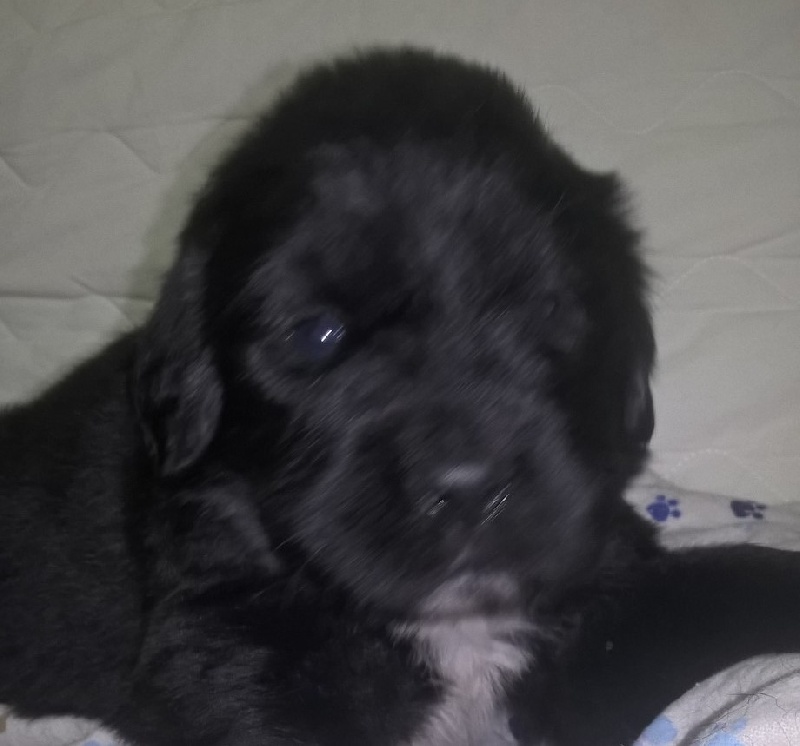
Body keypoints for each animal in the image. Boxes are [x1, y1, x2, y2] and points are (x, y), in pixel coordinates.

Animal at [2, 47, 800, 746]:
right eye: (316, 334)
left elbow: (729, 583)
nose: (472, 490)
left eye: (547, 310)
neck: (456, 628)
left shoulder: (608, 603)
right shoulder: (223, 645)